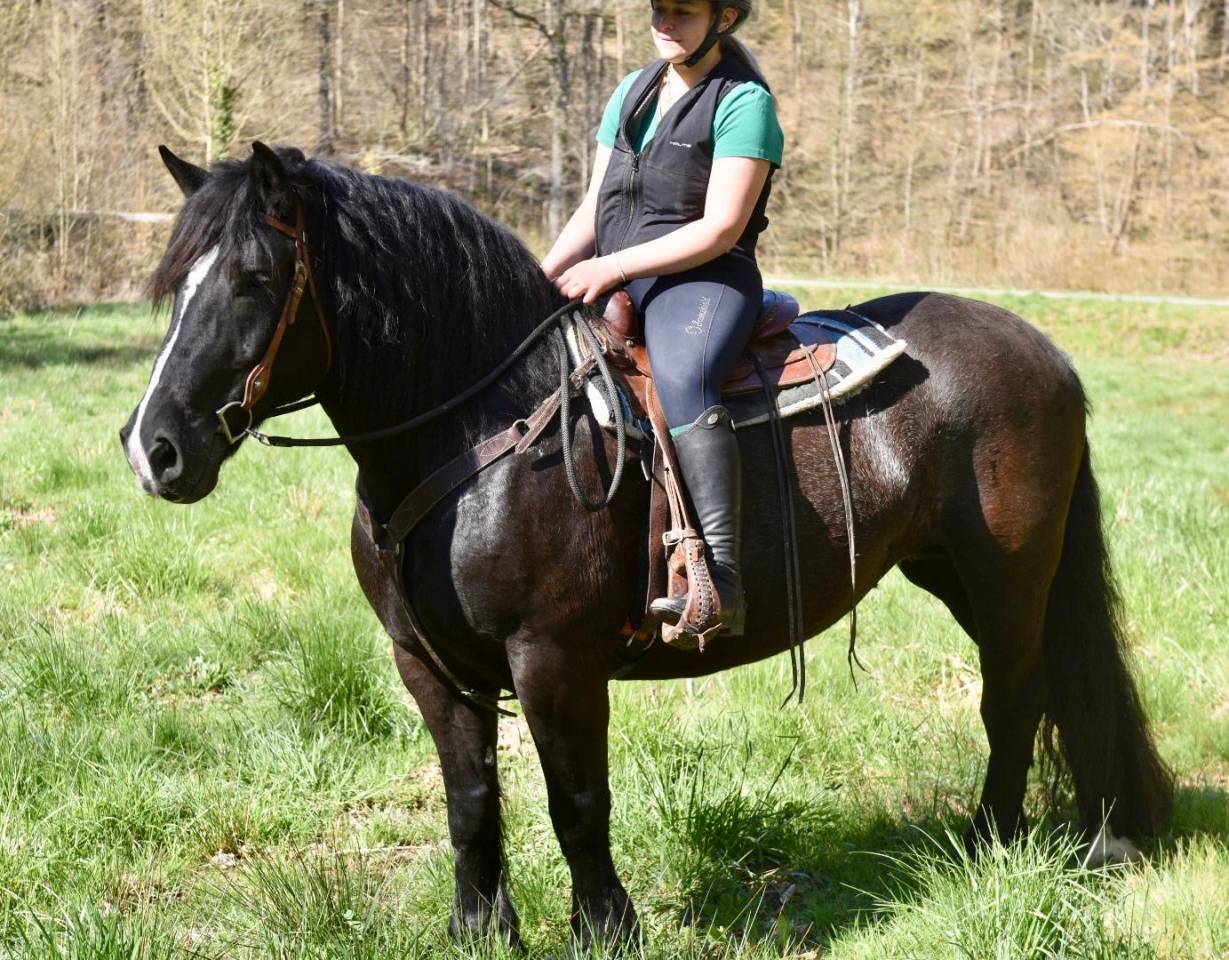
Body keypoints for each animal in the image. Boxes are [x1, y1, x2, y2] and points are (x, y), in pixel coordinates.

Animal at [121, 142, 1173, 949]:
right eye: (176, 287)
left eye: (257, 280)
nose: (152, 447)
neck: (478, 430)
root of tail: (1040, 347)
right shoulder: (428, 665)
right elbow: (470, 800)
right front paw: (481, 931)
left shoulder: (555, 661)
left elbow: (577, 804)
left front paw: (605, 928)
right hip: (951, 571)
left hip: (1009, 577)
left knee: (1017, 699)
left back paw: (1000, 843)